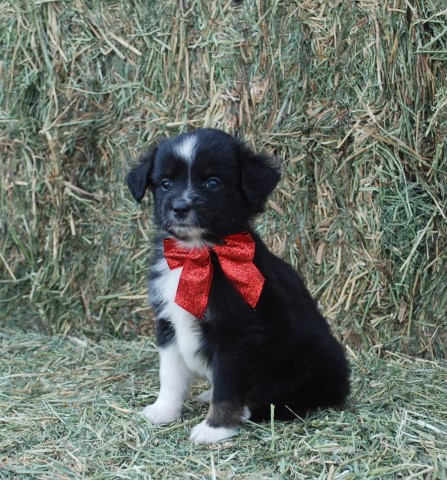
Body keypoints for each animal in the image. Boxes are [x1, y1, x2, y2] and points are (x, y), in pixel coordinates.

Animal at [126, 127, 350, 442]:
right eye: (166, 183)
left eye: (213, 183)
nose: (180, 207)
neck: (198, 254)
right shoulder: (167, 322)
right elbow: (169, 373)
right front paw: (164, 411)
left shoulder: (239, 333)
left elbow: (228, 386)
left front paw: (215, 428)